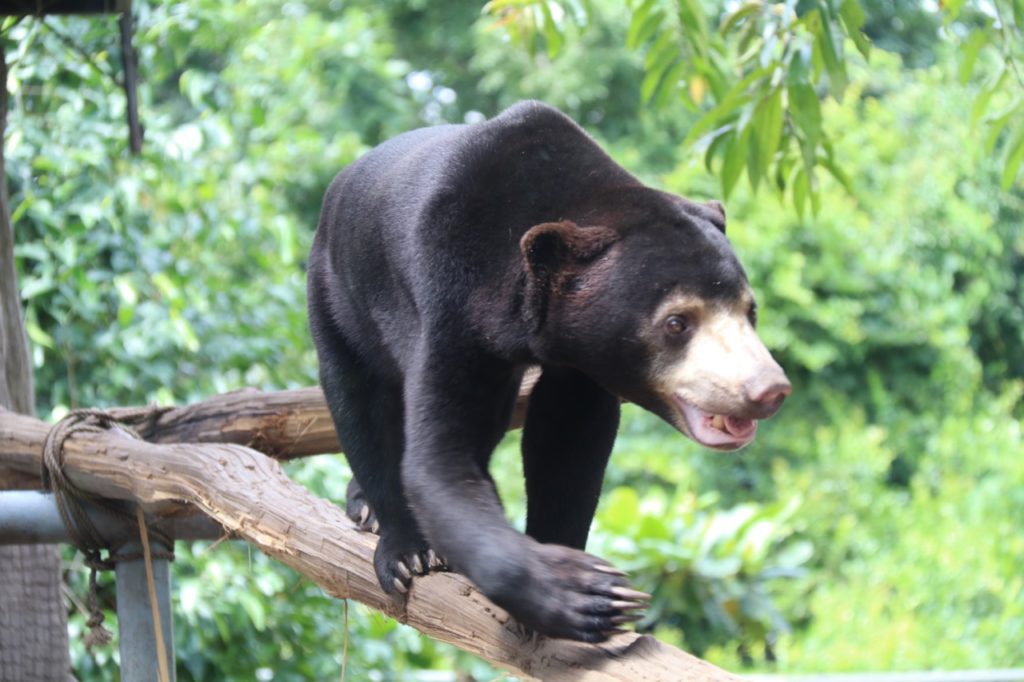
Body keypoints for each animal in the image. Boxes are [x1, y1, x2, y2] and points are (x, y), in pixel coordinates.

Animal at [307, 99, 786, 638]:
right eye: (677, 322)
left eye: (750, 311)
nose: (768, 390)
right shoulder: (449, 302)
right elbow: (439, 460)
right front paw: (585, 595)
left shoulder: (580, 358)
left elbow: (569, 444)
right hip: (336, 294)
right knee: (356, 398)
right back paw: (387, 526)